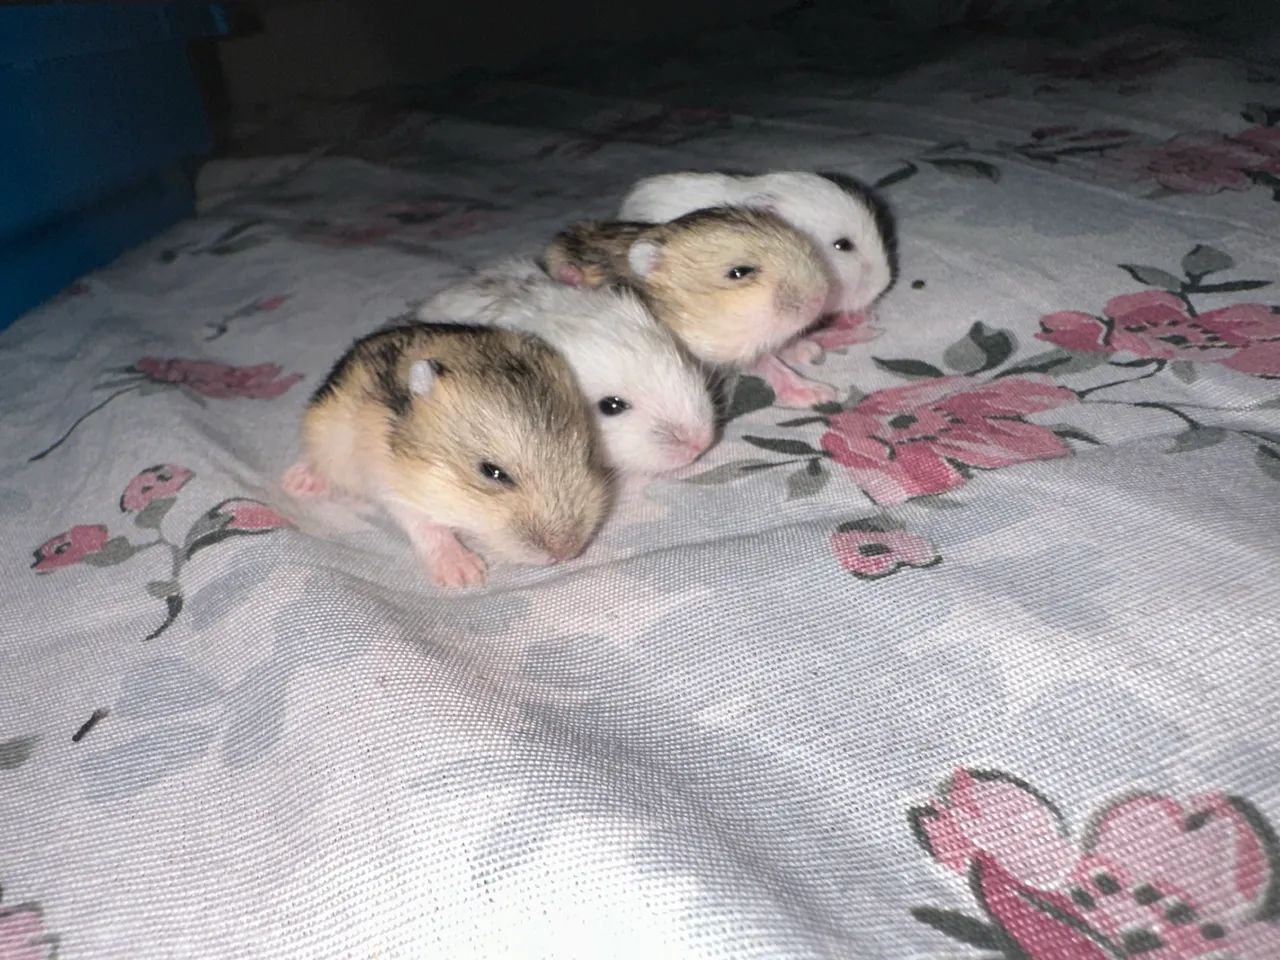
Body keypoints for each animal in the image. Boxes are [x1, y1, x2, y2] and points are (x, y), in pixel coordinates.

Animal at [282, 323, 610, 589]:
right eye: (492, 471)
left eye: (588, 453)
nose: (566, 553)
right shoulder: (394, 487)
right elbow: (428, 527)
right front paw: (467, 577)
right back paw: (297, 482)